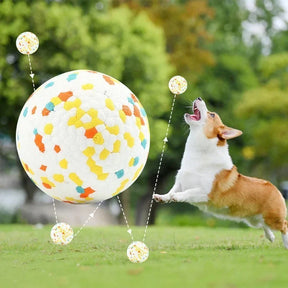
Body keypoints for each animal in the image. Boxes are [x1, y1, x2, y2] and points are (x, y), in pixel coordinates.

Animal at [154, 98, 288, 249]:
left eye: (212, 115)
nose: (199, 98)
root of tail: (275, 188)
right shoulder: (180, 182)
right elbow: (171, 191)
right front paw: (162, 197)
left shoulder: (206, 193)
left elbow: (187, 192)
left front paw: (177, 197)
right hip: (254, 220)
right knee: (265, 226)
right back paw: (270, 237)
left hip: (273, 217)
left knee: (284, 225)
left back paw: (286, 243)